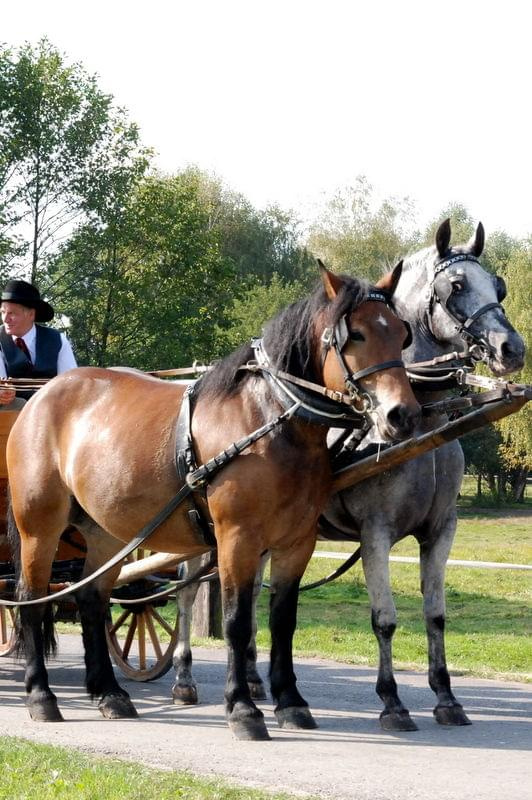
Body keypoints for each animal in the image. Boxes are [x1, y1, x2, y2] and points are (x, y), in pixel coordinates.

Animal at [5, 266, 420, 740]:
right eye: (356, 334)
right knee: (32, 599)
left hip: (106, 532)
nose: (402, 415)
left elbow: (283, 620)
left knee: (92, 599)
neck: (269, 420)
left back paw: (109, 693)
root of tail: (41, 396)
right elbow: (238, 622)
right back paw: (41, 696)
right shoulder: (237, 538)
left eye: (401, 333)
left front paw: (291, 702)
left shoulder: (297, 542)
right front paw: (243, 708)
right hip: (40, 526)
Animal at [171, 220, 524, 732]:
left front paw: (446, 697)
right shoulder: (375, 531)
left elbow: (435, 615)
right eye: (456, 286)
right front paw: (392, 702)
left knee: (250, 594)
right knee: (186, 590)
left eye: (498, 286)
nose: (510, 349)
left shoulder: (441, 530)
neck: (424, 429)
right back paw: (183, 677)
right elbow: (384, 618)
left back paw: (254, 680)